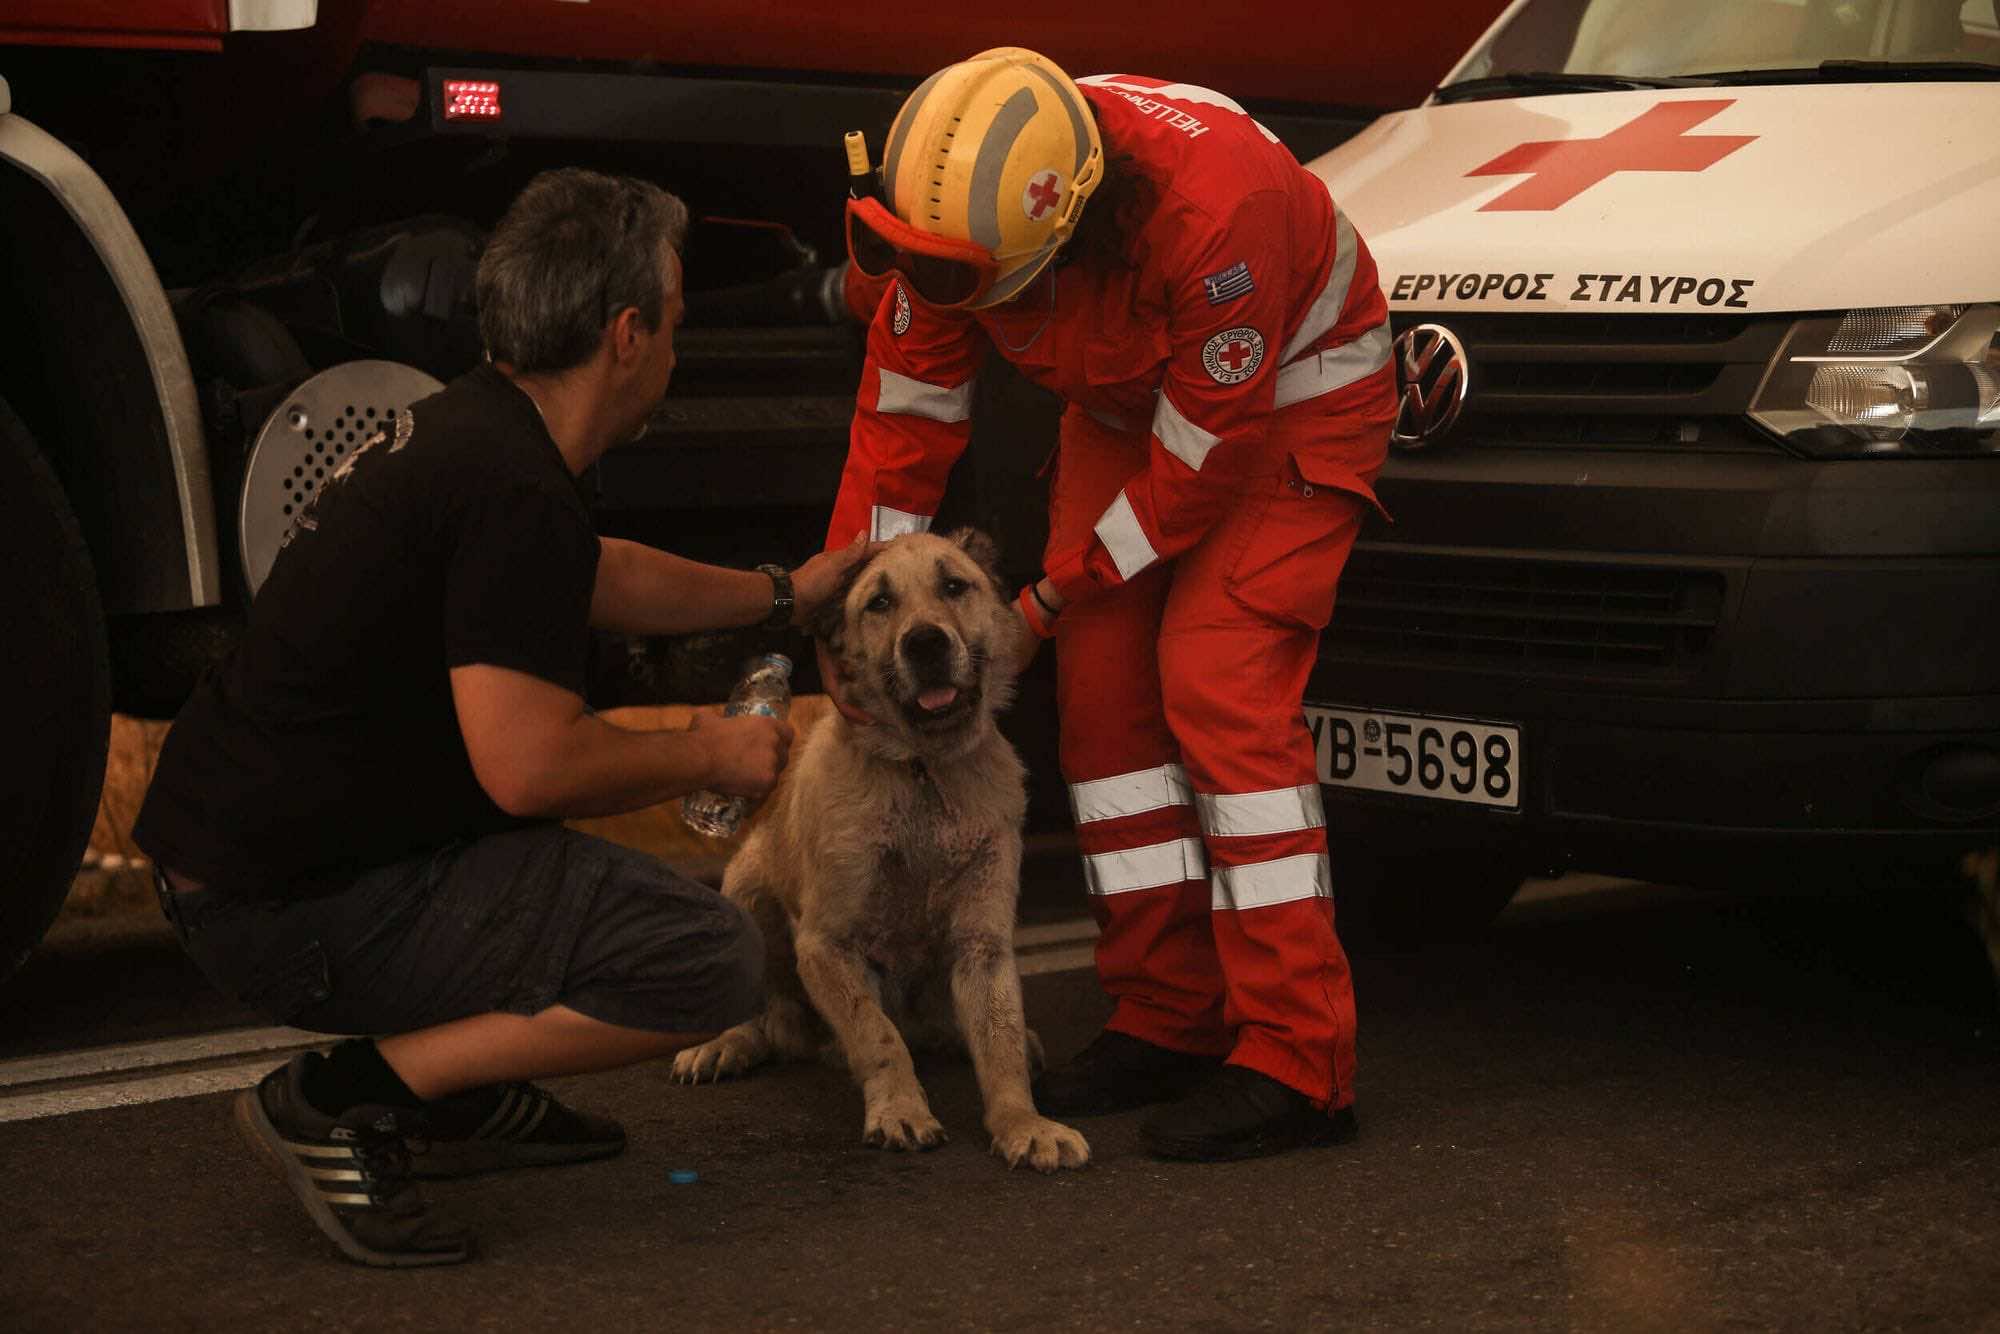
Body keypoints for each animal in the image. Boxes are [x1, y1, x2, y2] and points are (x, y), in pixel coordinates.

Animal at [672, 528, 1088, 1176]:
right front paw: (899, 1110)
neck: (923, 772)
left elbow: (1000, 1043)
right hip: (746, 888)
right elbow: (878, 1035)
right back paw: (726, 1044)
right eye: (879, 603)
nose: (925, 643)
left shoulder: (983, 944)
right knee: (767, 1018)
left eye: (953, 585)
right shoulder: (827, 946)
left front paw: (1022, 1122)